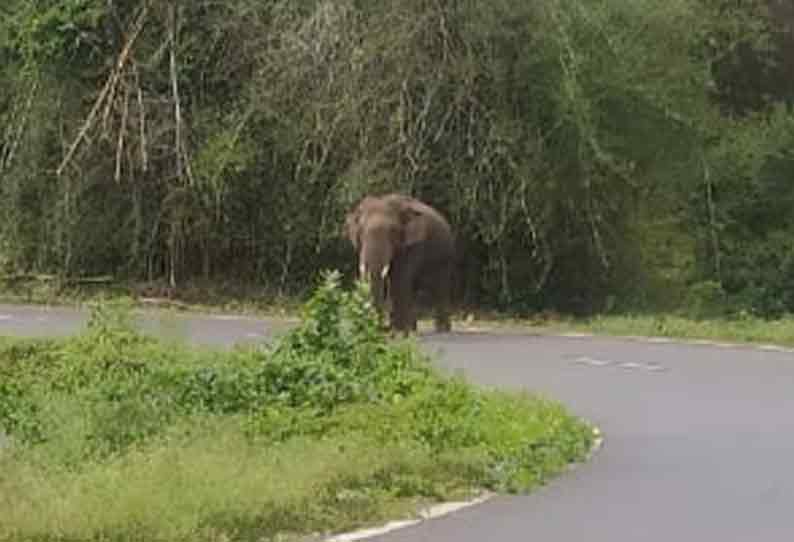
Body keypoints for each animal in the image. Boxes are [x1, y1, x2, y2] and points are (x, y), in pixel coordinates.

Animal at [344, 193, 454, 334]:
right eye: (361, 232)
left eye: (393, 231)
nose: (381, 328)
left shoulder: (412, 246)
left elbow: (399, 280)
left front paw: (398, 331)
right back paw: (412, 329)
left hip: (445, 257)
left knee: (439, 287)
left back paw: (442, 330)